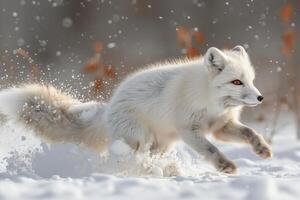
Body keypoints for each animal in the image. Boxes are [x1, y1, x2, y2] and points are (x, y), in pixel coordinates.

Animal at [0, 45, 272, 175]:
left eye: (250, 80)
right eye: (236, 82)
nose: (260, 97)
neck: (209, 101)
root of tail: (109, 106)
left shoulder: (220, 127)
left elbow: (251, 133)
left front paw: (262, 149)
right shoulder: (190, 130)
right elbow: (211, 150)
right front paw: (225, 166)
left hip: (162, 144)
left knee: (145, 159)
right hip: (140, 138)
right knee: (130, 160)